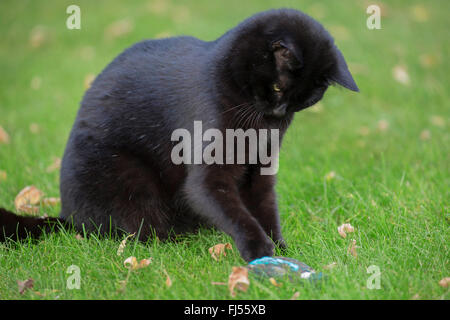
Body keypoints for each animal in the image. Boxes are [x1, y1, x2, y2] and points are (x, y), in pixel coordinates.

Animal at [0, 8, 358, 262]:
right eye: (278, 88)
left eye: (306, 100)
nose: (280, 112)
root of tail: (66, 217)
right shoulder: (210, 171)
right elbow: (224, 202)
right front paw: (258, 250)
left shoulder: (261, 168)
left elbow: (265, 205)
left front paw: (281, 248)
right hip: (127, 178)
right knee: (137, 230)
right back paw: (176, 242)